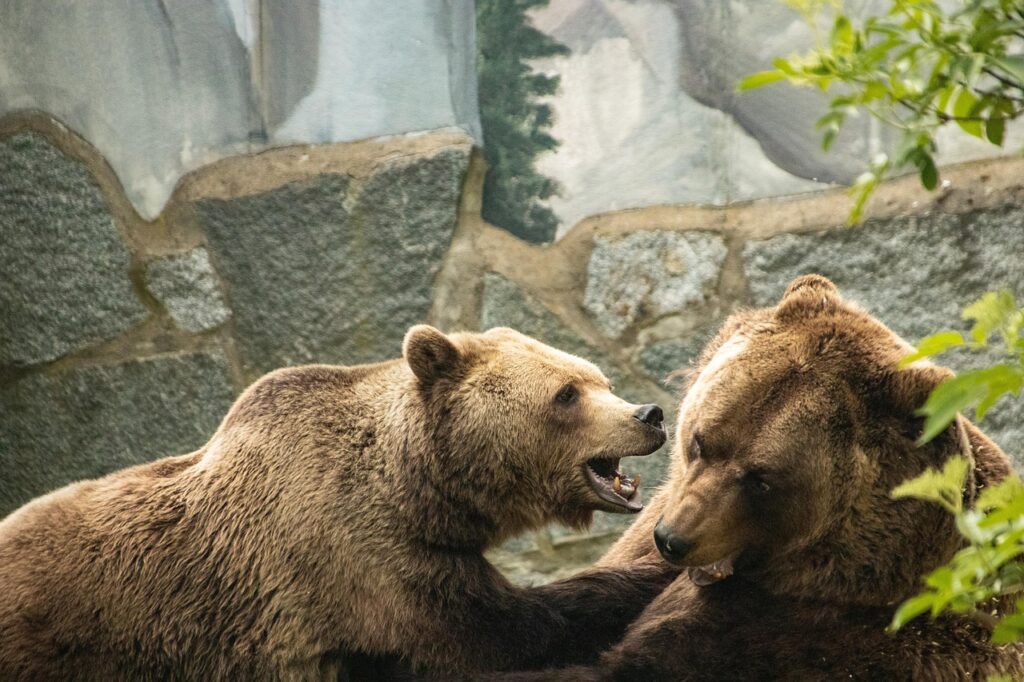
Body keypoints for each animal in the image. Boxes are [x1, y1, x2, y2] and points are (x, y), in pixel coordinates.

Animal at [0, 325, 677, 680]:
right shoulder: (353, 561)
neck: (418, 490)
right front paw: (645, 577)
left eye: (598, 379)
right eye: (566, 394)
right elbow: (509, 625)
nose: (648, 414)